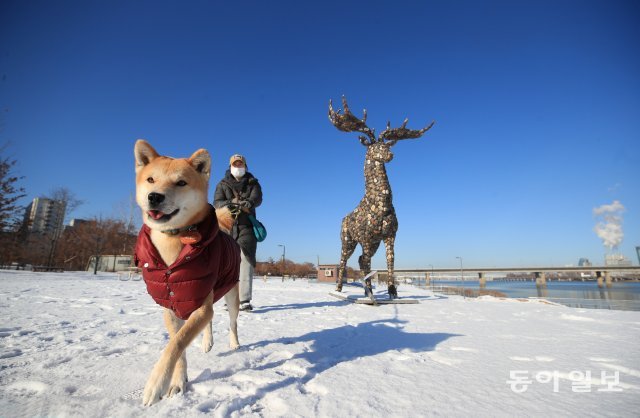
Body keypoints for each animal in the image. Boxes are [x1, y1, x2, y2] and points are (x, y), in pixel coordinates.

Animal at [132, 140, 240, 404]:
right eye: (150, 179)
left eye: (181, 182)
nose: (154, 196)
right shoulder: (171, 305)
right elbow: (177, 341)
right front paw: (178, 381)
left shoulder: (200, 303)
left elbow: (178, 342)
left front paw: (156, 383)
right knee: (210, 320)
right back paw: (207, 341)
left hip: (232, 293)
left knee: (232, 322)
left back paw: (234, 343)